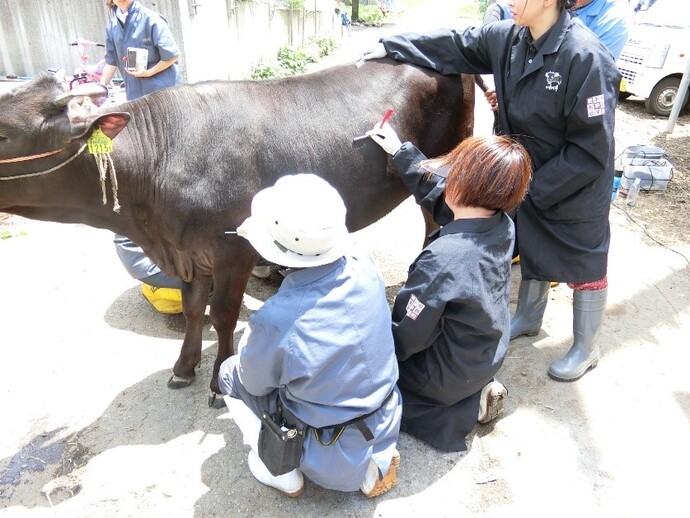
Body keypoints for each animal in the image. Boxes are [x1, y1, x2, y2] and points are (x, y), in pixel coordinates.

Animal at [0, 60, 472, 402]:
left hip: (444, 157)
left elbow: (222, 314)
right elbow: (194, 309)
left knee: (435, 216)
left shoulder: (232, 252)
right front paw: (183, 368)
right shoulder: (191, 254)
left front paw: (218, 378)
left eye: (4, 133)